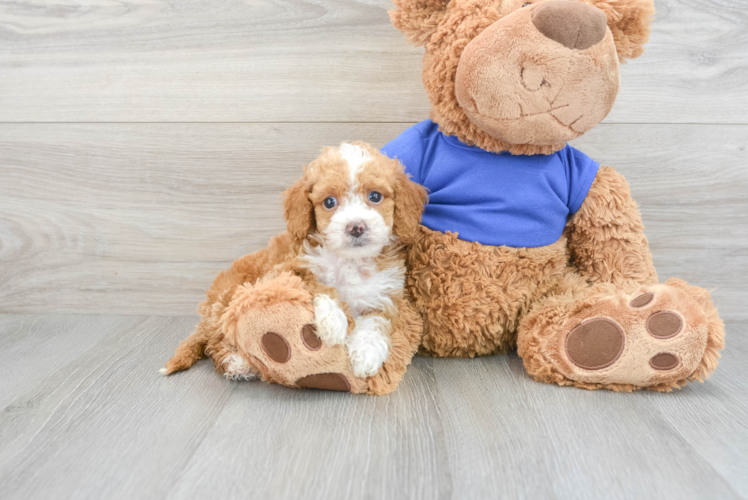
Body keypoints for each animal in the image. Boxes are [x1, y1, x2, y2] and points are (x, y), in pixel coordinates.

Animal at [163, 143, 426, 384]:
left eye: (375, 196)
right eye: (329, 202)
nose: (356, 227)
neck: (350, 260)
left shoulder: (386, 294)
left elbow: (376, 320)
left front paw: (366, 354)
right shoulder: (284, 270)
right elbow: (317, 285)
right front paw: (334, 322)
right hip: (228, 301)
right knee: (216, 340)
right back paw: (237, 362)